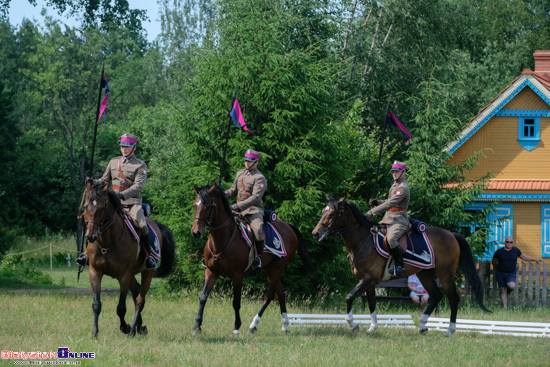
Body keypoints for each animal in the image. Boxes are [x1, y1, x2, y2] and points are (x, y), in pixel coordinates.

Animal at [83, 179, 177, 340]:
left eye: (102, 208)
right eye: (86, 206)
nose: (90, 236)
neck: (107, 242)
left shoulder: (124, 275)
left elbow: (121, 307)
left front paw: (125, 328)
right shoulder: (95, 272)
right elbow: (96, 304)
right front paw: (95, 332)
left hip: (147, 272)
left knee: (140, 299)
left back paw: (133, 328)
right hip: (132, 274)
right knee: (136, 293)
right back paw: (139, 326)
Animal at [192, 184, 314, 336]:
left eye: (208, 206)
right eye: (195, 205)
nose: (196, 232)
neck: (223, 238)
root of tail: (288, 227)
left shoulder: (237, 275)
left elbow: (236, 302)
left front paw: (237, 327)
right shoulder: (211, 271)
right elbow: (203, 297)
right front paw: (197, 326)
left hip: (277, 268)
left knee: (269, 296)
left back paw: (253, 325)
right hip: (270, 269)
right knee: (280, 294)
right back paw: (285, 325)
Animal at [312, 197, 494, 338]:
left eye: (332, 213)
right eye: (322, 211)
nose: (316, 233)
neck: (363, 240)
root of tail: (451, 234)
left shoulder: (369, 278)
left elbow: (349, 297)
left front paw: (353, 325)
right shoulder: (368, 281)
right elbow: (371, 302)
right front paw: (372, 327)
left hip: (445, 274)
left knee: (453, 299)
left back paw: (449, 331)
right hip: (425, 274)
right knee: (436, 296)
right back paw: (422, 326)